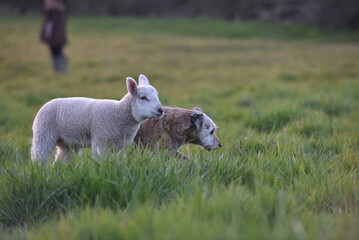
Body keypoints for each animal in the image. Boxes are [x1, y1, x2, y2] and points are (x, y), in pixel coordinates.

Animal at [31, 74, 163, 165]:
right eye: (143, 97)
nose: (160, 110)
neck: (119, 114)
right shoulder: (101, 140)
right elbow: (101, 161)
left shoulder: (122, 145)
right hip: (43, 133)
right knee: (39, 156)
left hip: (67, 143)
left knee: (61, 161)